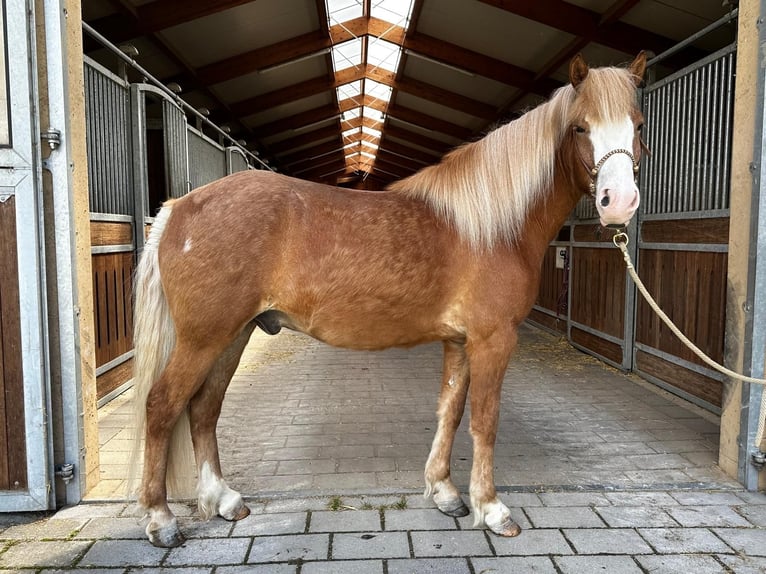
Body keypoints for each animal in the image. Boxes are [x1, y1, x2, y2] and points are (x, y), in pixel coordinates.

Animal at [132, 55, 648, 548]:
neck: (491, 227)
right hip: (204, 338)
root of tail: (179, 207)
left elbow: (450, 412)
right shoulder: (493, 339)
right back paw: (161, 521)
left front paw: (445, 493)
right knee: (162, 405)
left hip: (233, 336)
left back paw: (224, 500)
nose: (619, 201)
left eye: (639, 125)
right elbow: (485, 420)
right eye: (580, 127)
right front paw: (492, 509)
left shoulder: (459, 342)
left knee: (203, 409)